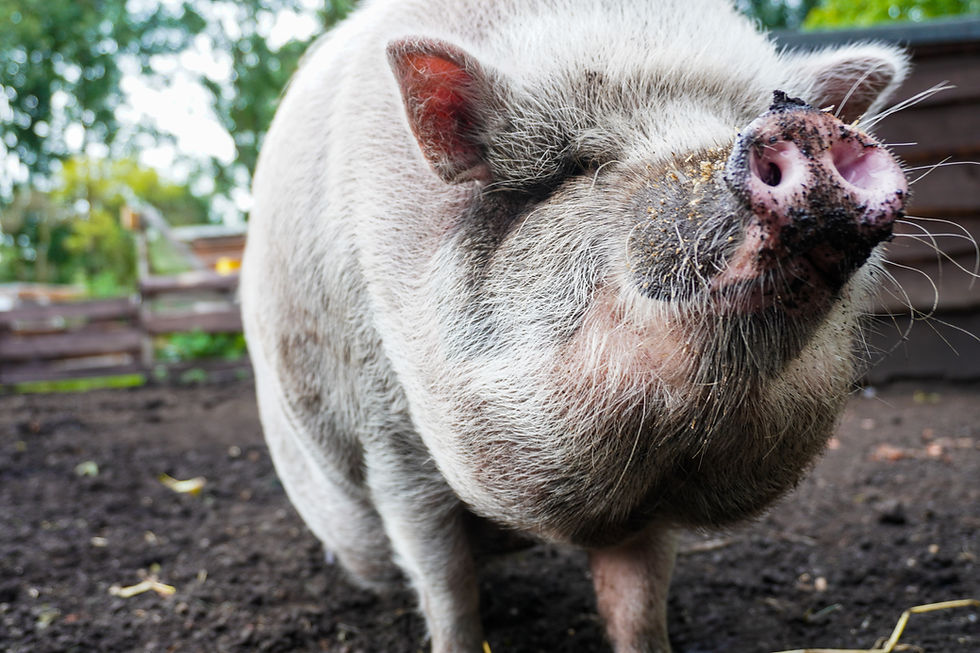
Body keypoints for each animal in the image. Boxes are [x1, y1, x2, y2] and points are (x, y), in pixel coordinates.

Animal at [239, 0, 909, 651]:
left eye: (743, 116)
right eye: (580, 167)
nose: (802, 123)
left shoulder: (651, 512)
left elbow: (638, 606)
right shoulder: (388, 442)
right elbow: (446, 590)